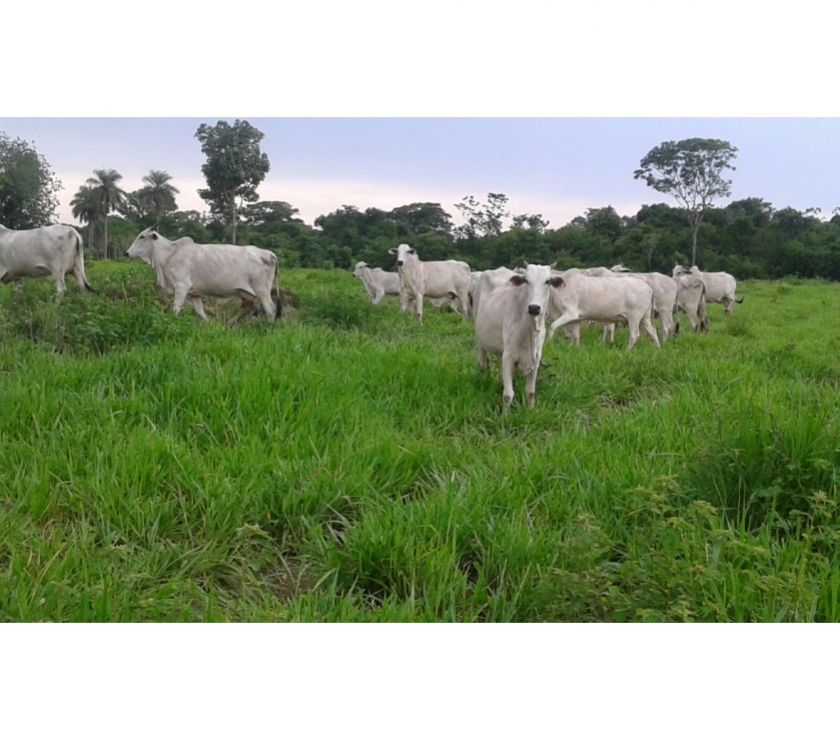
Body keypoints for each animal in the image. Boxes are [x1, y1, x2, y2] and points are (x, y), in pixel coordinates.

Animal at [126, 227, 280, 322]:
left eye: (142, 237)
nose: (126, 252)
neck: (169, 254)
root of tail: (269, 253)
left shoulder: (181, 287)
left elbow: (176, 308)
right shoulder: (195, 293)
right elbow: (201, 312)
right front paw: (212, 324)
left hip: (262, 290)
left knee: (270, 309)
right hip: (246, 292)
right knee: (248, 307)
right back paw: (230, 324)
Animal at [472, 264, 564, 408]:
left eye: (547, 281)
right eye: (526, 280)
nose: (534, 308)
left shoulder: (536, 358)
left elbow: (530, 392)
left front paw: (530, 410)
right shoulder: (508, 356)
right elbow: (508, 395)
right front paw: (505, 413)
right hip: (480, 340)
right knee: (482, 364)